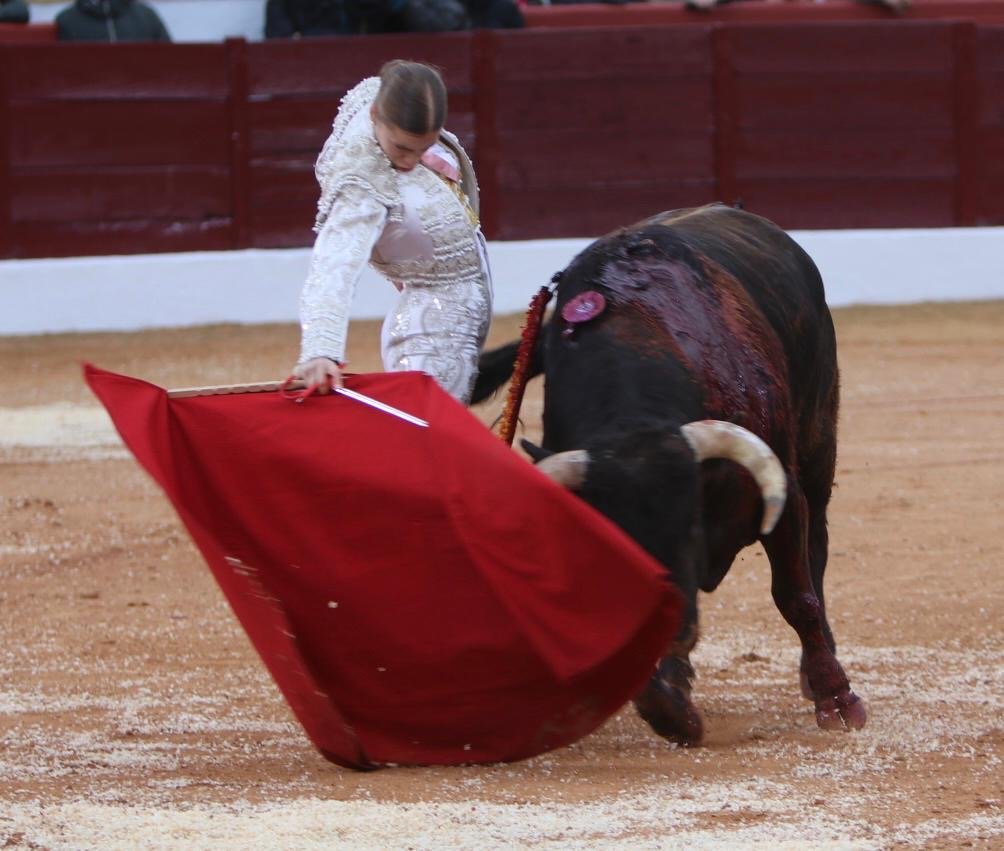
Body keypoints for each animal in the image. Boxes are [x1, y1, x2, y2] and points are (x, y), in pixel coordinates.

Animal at [472, 203, 866, 745]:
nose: (674, 627)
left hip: (816, 443)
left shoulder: (779, 490)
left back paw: (816, 672)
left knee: (817, 551)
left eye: (692, 524)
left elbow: (795, 595)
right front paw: (671, 708)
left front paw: (837, 700)